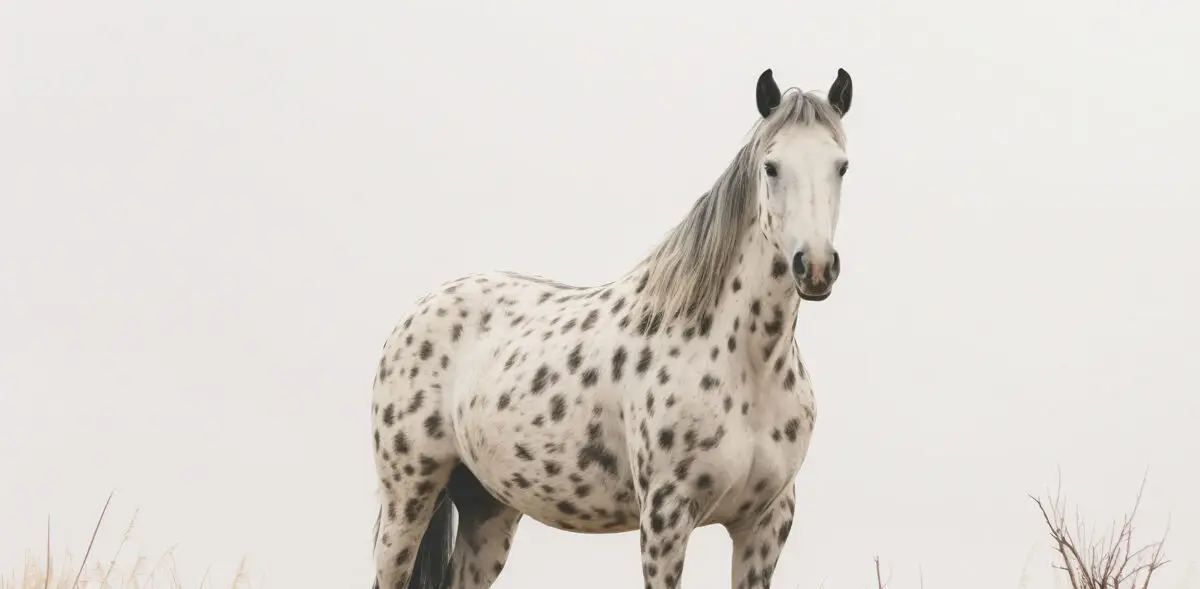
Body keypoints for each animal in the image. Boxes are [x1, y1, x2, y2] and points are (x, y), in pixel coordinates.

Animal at [370, 66, 855, 589]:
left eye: (841, 166)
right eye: (771, 167)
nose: (816, 266)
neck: (745, 364)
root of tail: (416, 313)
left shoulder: (765, 523)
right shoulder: (666, 516)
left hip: (488, 510)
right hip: (407, 500)